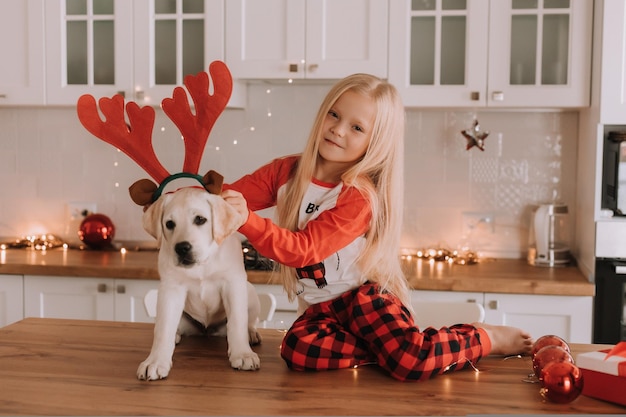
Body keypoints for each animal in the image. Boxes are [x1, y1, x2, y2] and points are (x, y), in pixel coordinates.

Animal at [136, 187, 260, 378]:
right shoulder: (171, 288)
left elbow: (237, 322)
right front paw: (155, 362)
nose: (182, 248)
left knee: (249, 321)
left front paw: (243, 354)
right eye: (169, 224)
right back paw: (176, 335)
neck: (203, 263)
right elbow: (163, 329)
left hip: (250, 292)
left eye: (200, 219)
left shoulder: (232, 283)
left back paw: (251, 333)